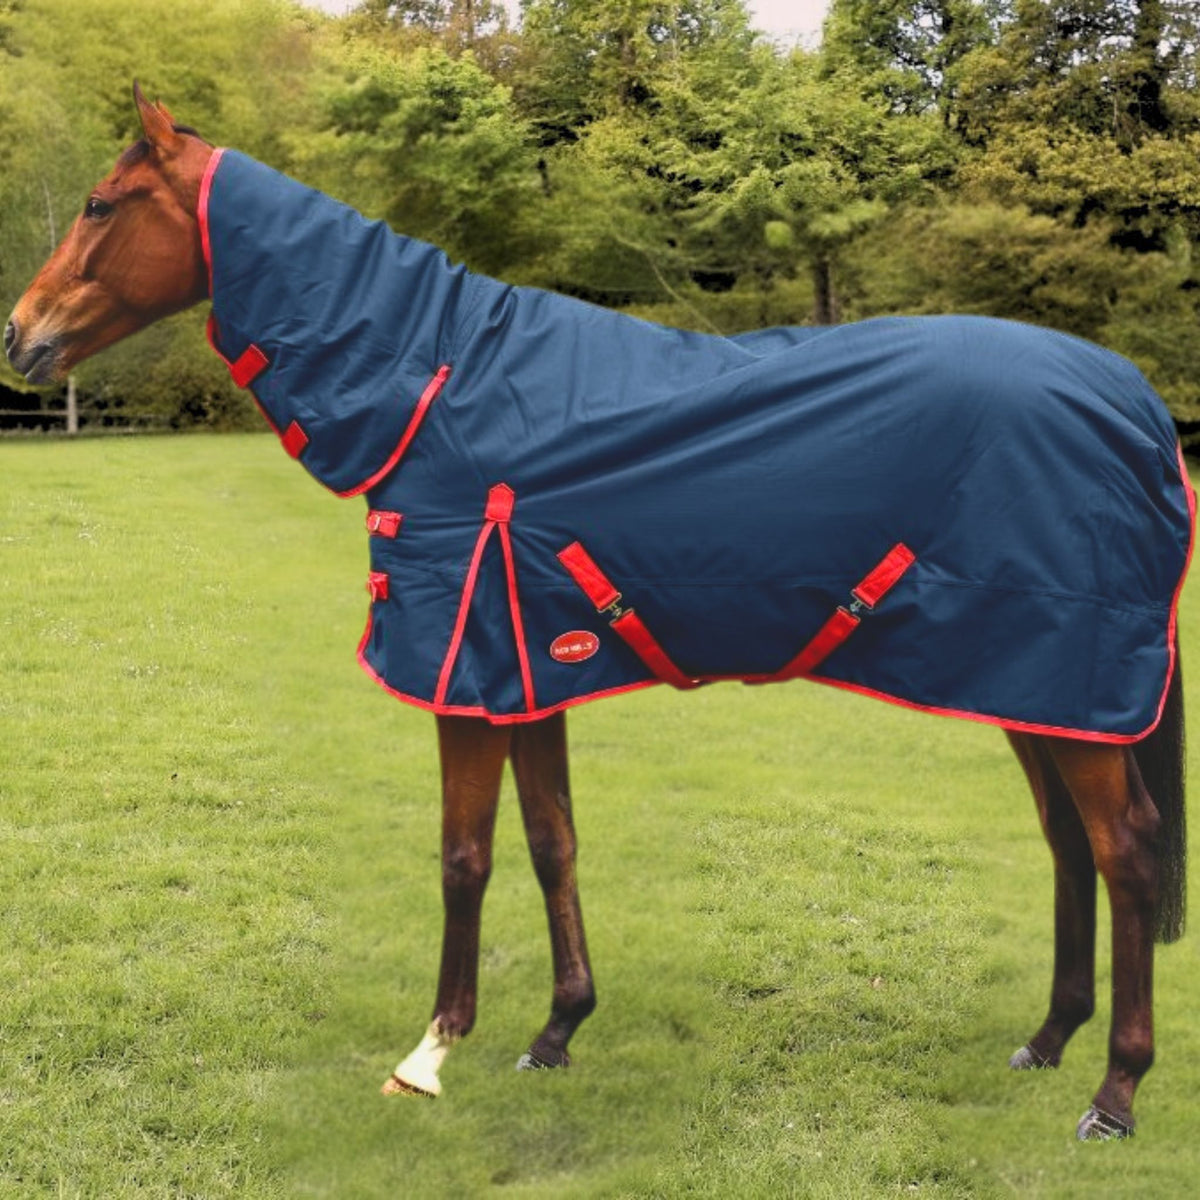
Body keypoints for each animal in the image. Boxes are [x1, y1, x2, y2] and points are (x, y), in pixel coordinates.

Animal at [6, 85, 1192, 1141]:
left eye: (102, 203)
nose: (19, 337)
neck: (438, 384)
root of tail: (1131, 397)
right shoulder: (525, 668)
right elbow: (551, 842)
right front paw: (556, 1030)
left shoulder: (466, 671)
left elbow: (465, 855)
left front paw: (431, 1051)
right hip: (1033, 686)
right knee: (1069, 845)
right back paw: (1049, 1040)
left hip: (1071, 686)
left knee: (1127, 852)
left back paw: (1117, 1093)